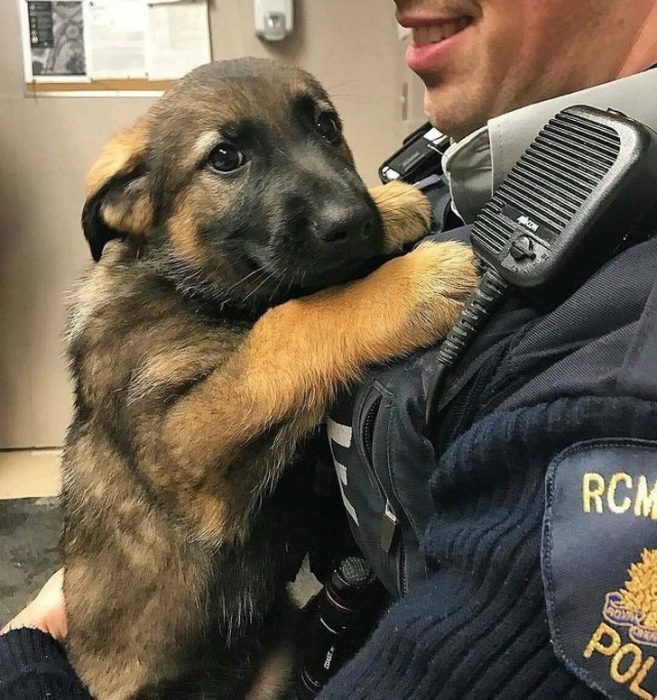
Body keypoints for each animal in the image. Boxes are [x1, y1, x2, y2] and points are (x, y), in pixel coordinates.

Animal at [62, 57, 476, 696]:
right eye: (225, 157)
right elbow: (292, 320)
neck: (184, 285)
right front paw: (414, 283)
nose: (352, 220)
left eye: (326, 126)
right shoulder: (181, 448)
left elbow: (302, 294)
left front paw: (391, 207)